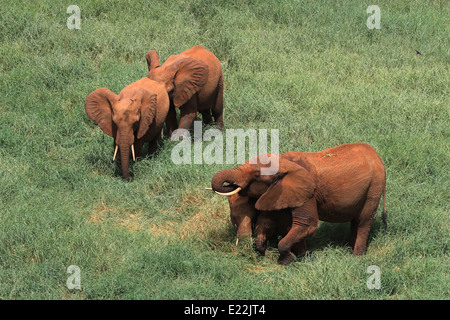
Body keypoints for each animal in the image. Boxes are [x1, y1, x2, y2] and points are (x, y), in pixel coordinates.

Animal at [211, 143, 386, 264]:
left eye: (256, 175)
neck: (284, 161)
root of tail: (377, 155)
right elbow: (281, 222)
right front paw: (302, 256)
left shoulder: (307, 193)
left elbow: (306, 224)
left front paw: (286, 261)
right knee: (356, 220)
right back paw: (349, 249)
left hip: (374, 187)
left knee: (363, 220)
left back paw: (357, 257)